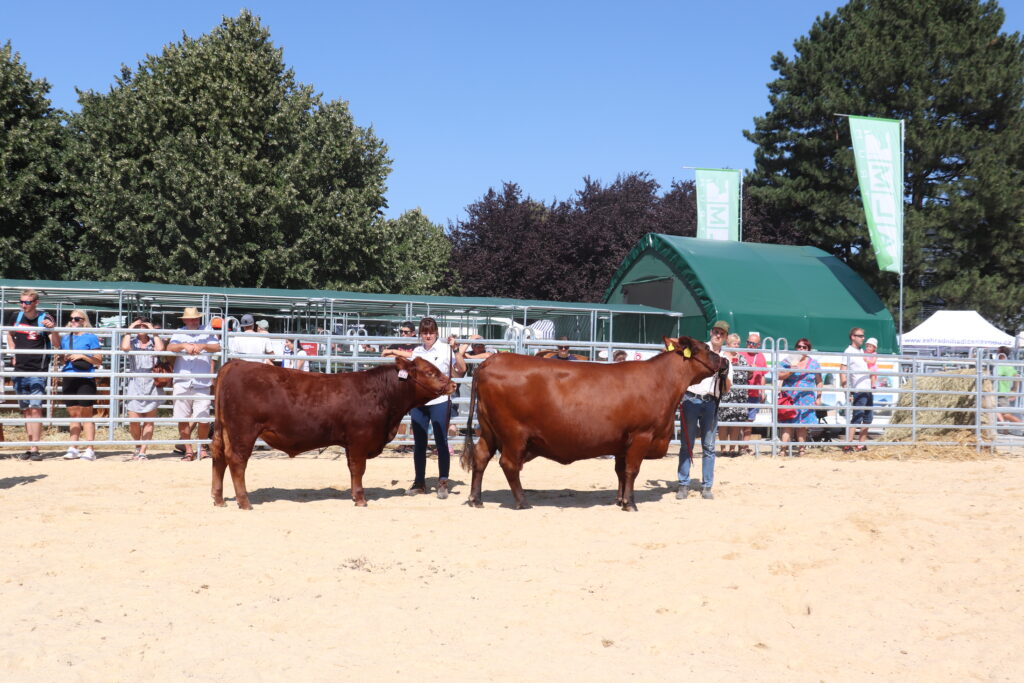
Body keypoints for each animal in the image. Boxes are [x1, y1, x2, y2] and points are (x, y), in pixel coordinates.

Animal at [209, 358, 454, 507]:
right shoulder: (359, 440)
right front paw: (360, 499)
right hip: (243, 432)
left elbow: (353, 469)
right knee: (236, 461)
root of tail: (235, 363)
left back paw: (218, 499)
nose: (452, 384)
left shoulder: (350, 442)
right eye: (430, 372)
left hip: (223, 431)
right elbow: (358, 469)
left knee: (219, 458)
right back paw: (244, 502)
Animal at [460, 335, 724, 507]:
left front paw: (619, 499)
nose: (724, 362)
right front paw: (630, 503)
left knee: (481, 457)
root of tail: (490, 361)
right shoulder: (641, 435)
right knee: (509, 464)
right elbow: (632, 470)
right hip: (513, 434)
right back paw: (522, 501)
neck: (661, 380)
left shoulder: (622, 442)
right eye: (706, 348)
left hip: (489, 430)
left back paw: (476, 499)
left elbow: (621, 471)